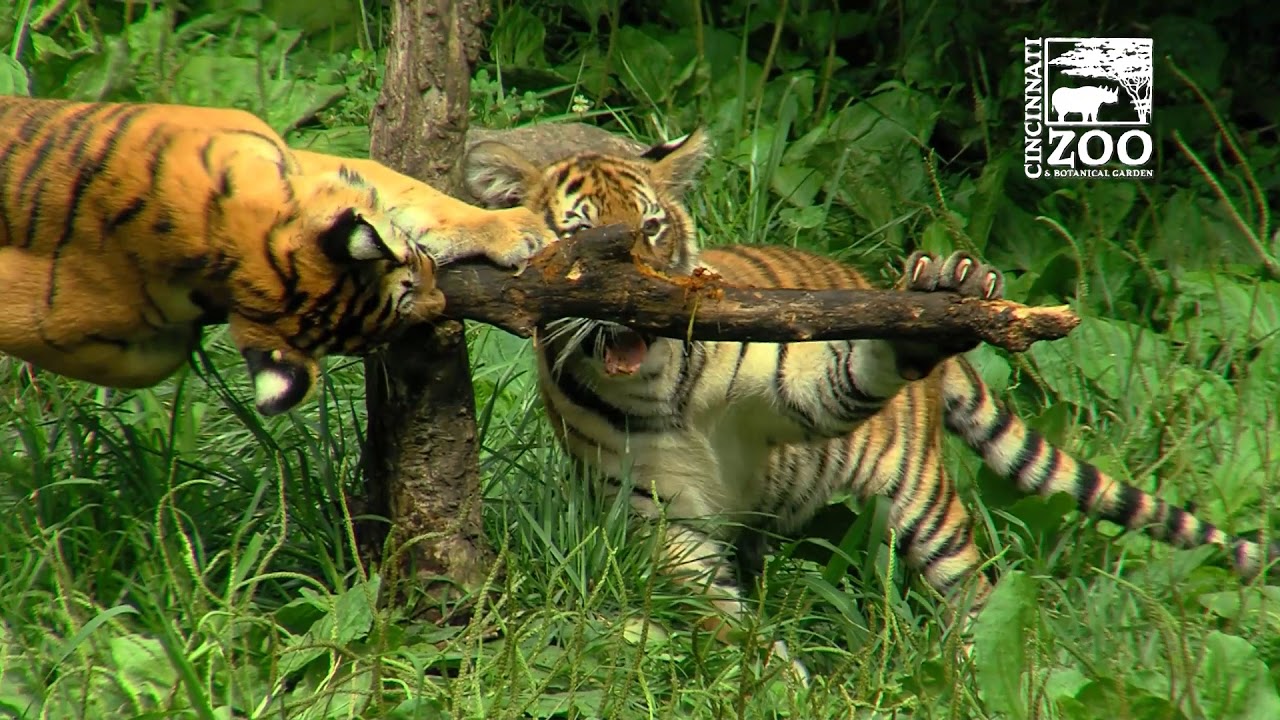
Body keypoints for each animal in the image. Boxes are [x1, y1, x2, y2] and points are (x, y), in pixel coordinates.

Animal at [461, 128, 1280, 676]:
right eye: (581, 235)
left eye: (652, 227)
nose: (638, 296)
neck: (657, 382)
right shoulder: (663, 524)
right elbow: (723, 618)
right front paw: (776, 677)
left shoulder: (793, 393)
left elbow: (832, 384)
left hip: (921, 500)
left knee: (971, 591)